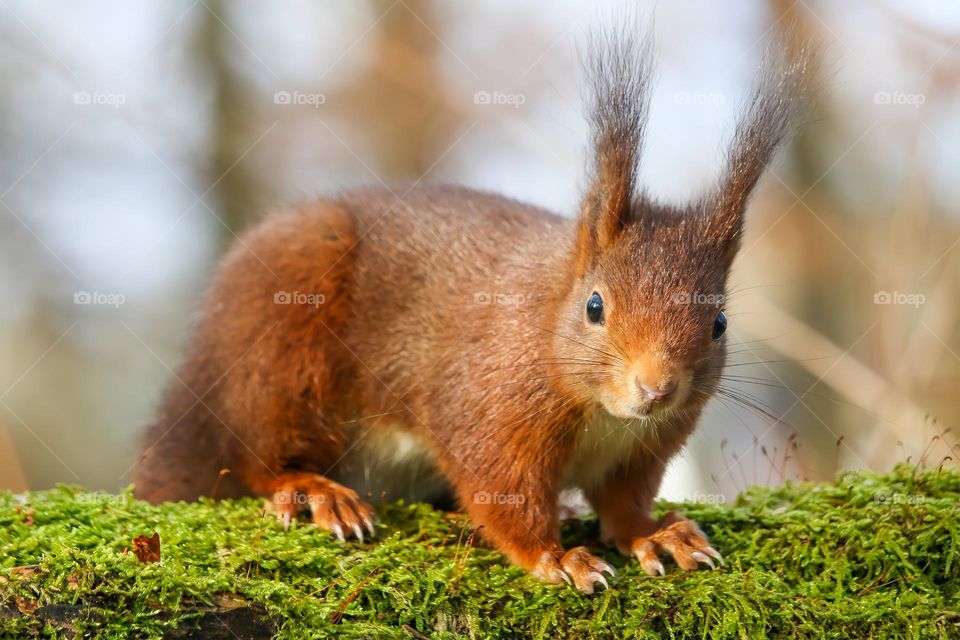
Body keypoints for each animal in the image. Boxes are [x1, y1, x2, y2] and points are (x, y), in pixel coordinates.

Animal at [135, 26, 808, 596]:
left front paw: (654, 534)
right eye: (594, 306)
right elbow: (502, 492)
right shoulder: (490, 408)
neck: (602, 411)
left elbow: (623, 502)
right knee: (254, 455)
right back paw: (312, 491)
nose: (657, 388)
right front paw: (555, 557)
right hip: (280, 353)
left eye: (719, 323)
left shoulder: (645, 446)